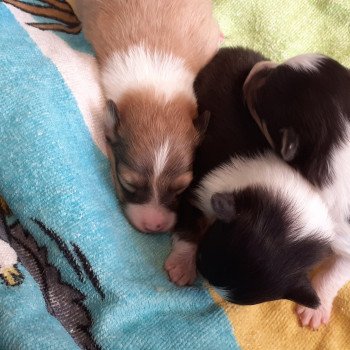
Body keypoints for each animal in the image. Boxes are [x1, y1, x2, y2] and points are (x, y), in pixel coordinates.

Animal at [164, 47, 334, 312]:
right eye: (200, 258)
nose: (200, 271)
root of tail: (235, 49)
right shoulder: (195, 187)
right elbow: (189, 224)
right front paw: (182, 267)